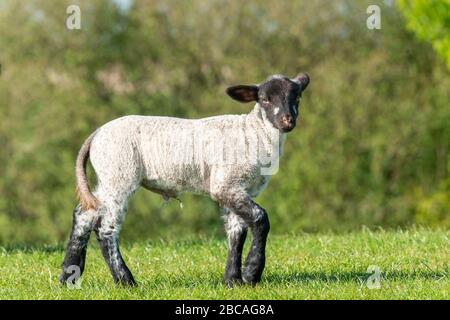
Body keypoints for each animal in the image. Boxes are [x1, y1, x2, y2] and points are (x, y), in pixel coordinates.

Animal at [59, 73, 310, 288]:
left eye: (297, 97)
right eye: (265, 99)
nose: (287, 121)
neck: (254, 132)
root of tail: (96, 134)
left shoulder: (238, 188)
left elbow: (236, 232)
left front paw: (232, 280)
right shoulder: (225, 185)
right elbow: (260, 219)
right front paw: (251, 273)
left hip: (108, 177)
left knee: (84, 214)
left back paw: (68, 276)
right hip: (119, 175)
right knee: (106, 228)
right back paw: (126, 281)